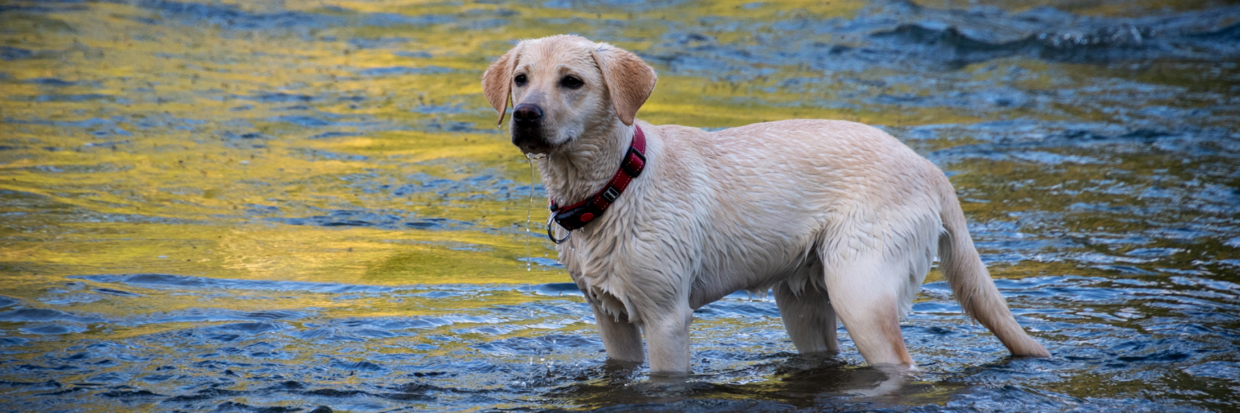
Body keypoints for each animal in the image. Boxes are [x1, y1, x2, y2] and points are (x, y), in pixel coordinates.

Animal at [481, 35, 1046, 374]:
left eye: (572, 81)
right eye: (521, 79)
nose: (525, 115)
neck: (615, 183)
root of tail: (927, 166)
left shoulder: (666, 318)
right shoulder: (610, 319)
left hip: (861, 294)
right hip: (803, 301)